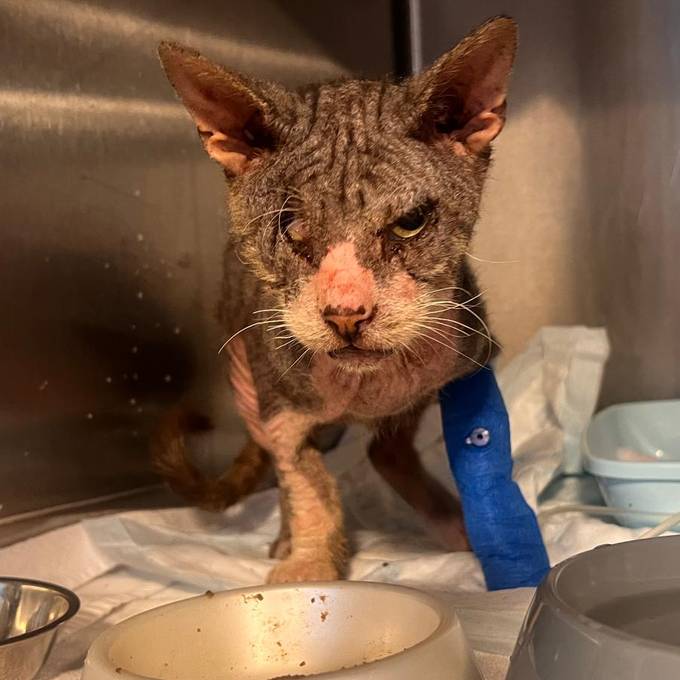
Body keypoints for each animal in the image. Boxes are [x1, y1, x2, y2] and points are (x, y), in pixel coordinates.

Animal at [153, 15, 516, 580]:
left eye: (411, 223)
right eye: (292, 228)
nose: (347, 315)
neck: (365, 390)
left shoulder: (473, 364)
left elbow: (483, 456)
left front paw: (497, 540)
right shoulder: (282, 415)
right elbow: (309, 486)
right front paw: (308, 570)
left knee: (387, 452)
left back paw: (447, 520)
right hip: (248, 383)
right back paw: (288, 539)